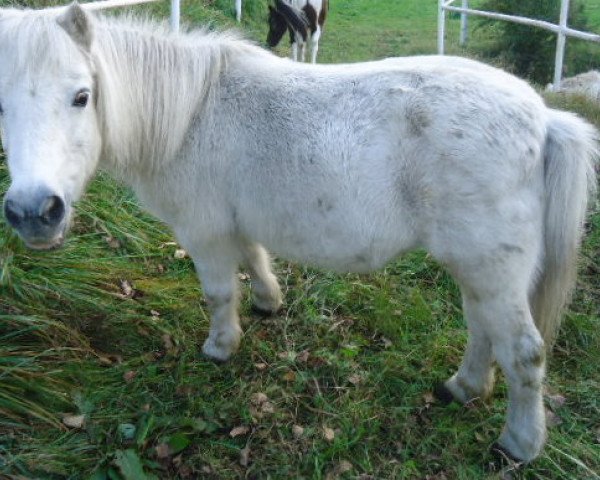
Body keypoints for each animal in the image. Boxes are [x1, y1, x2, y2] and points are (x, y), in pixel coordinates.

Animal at [0, 1, 596, 464]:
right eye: (1, 106)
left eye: (81, 96)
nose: (34, 212)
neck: (191, 116)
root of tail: (545, 119)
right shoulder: (237, 225)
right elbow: (256, 260)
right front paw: (268, 303)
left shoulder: (203, 233)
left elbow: (220, 293)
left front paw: (221, 346)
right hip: (480, 269)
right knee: (482, 328)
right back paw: (464, 388)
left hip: (491, 268)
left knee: (523, 352)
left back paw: (520, 443)